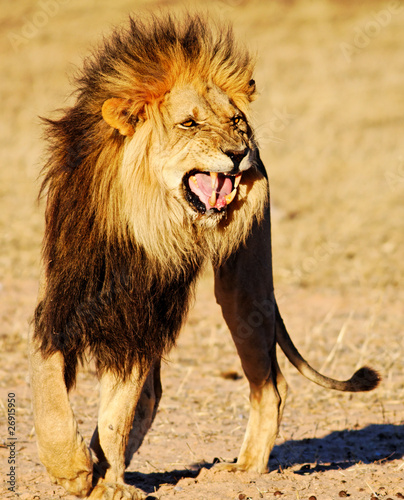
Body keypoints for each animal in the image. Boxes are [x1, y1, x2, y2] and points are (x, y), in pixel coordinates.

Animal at [30, 13, 380, 498]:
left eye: (236, 121)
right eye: (189, 124)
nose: (238, 153)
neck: (144, 220)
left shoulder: (142, 318)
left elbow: (118, 410)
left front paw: (102, 480)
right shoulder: (63, 300)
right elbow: (48, 386)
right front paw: (76, 468)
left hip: (243, 290)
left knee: (270, 384)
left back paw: (242, 469)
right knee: (156, 395)